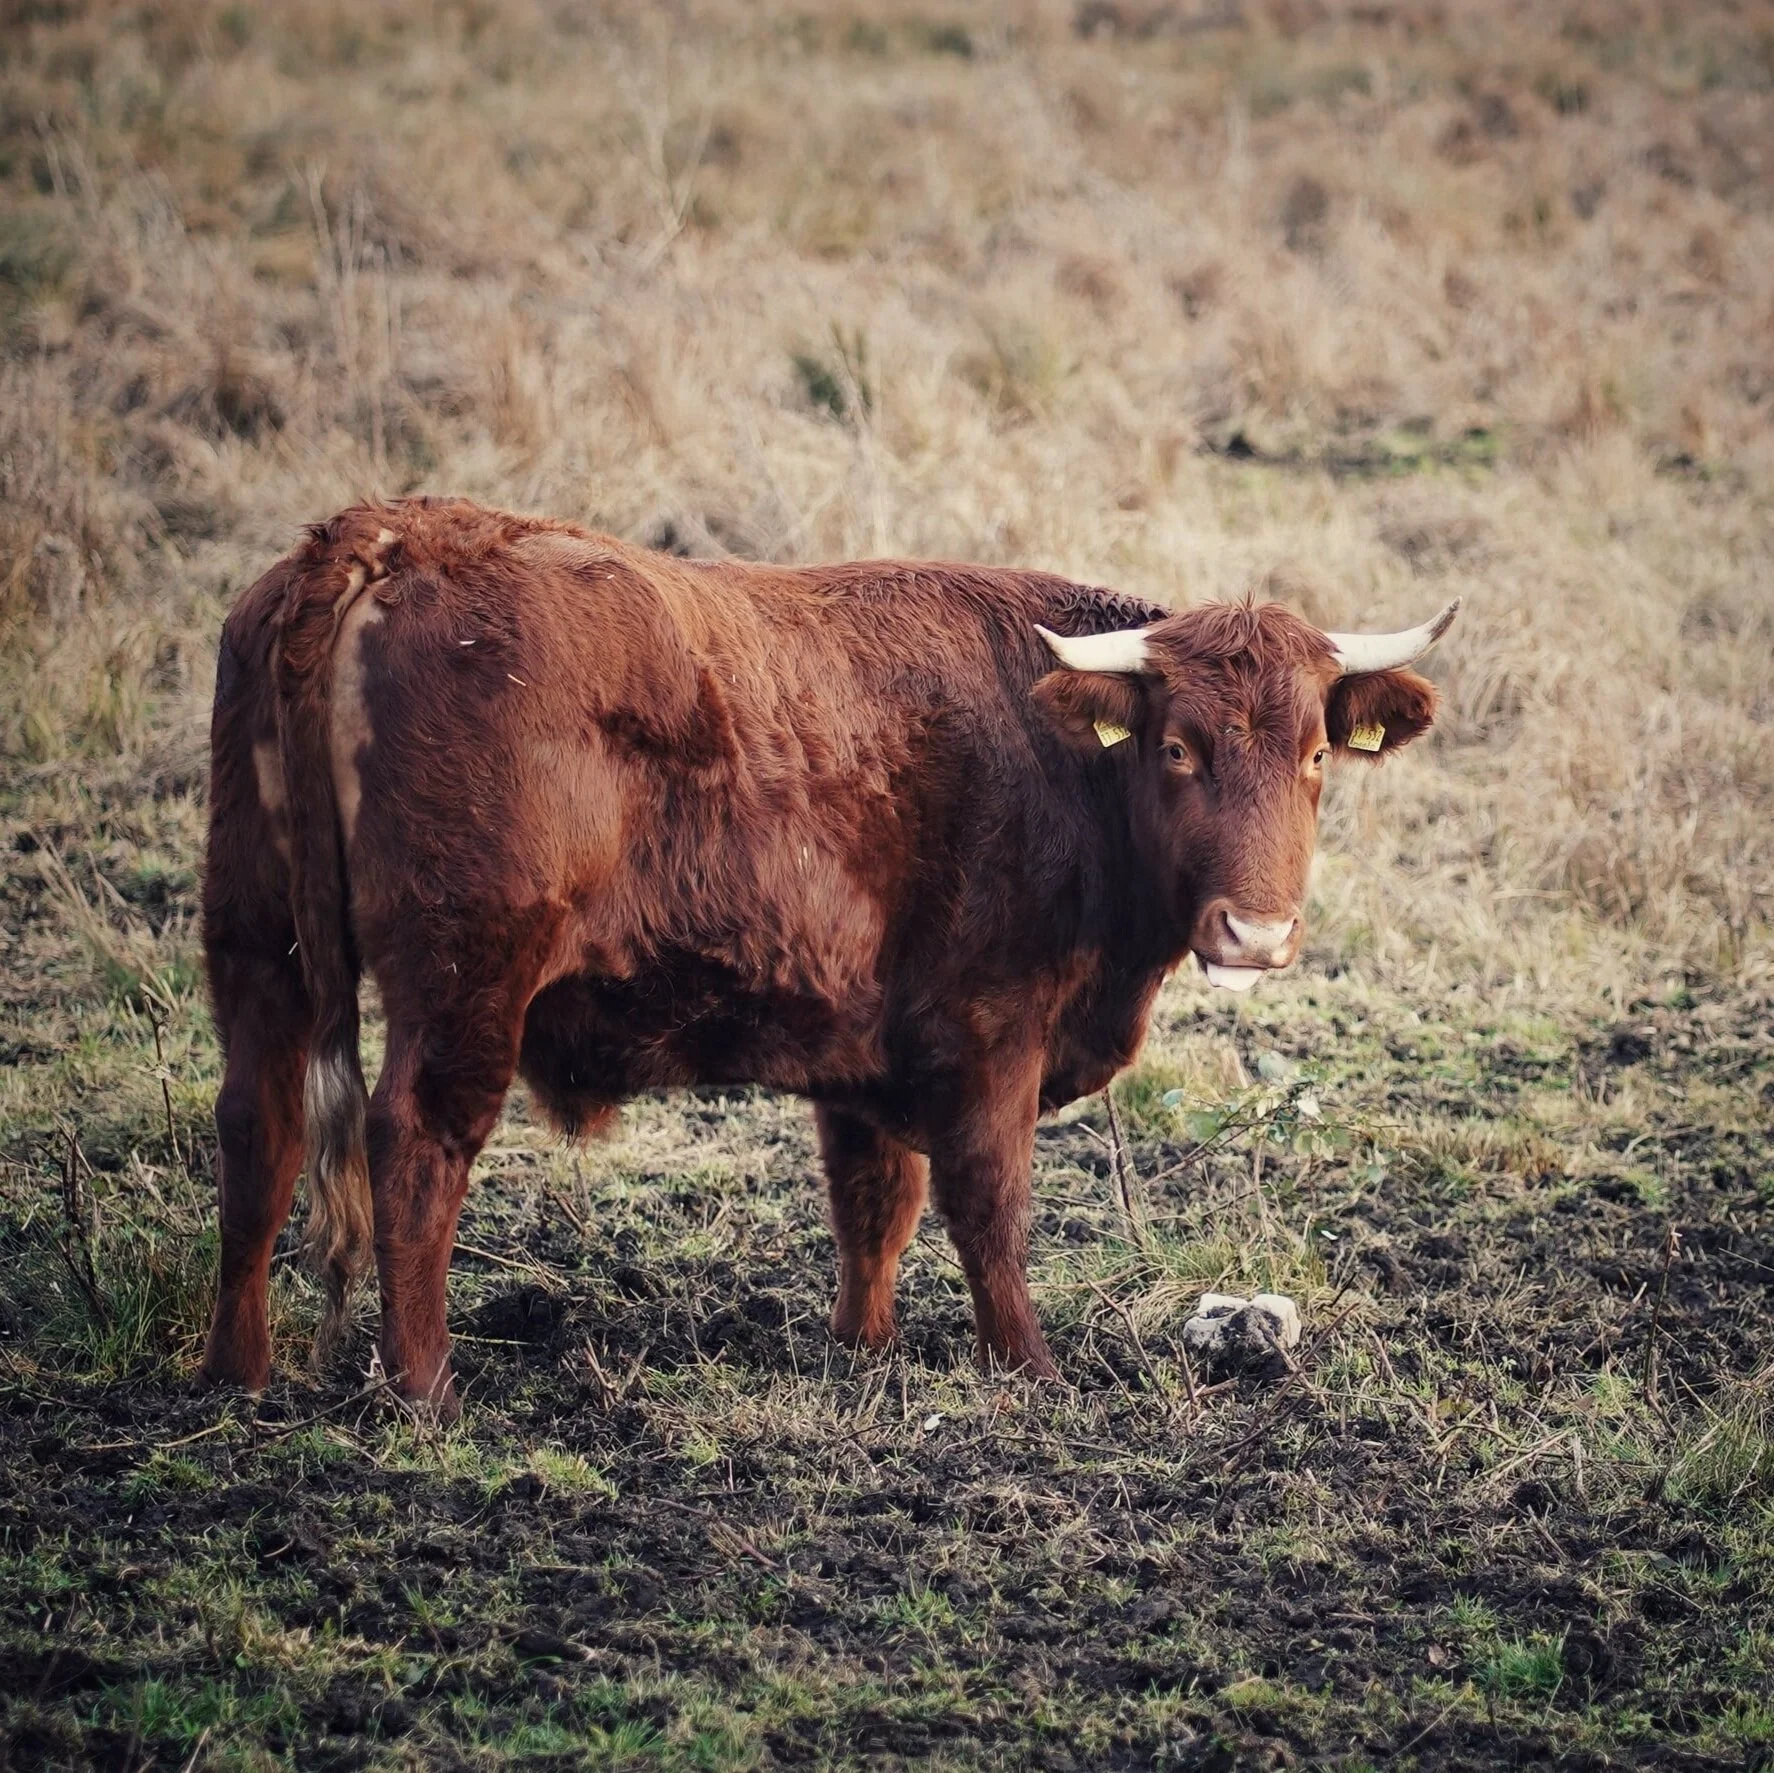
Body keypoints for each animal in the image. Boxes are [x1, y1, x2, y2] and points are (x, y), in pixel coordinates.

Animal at [198, 496, 1456, 1416]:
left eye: (1314, 755)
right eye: (1181, 748)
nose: (1256, 932)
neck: (1058, 756)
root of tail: (391, 536)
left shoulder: (864, 1051)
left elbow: (875, 1202)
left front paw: (868, 1351)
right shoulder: (990, 1033)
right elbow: (987, 1202)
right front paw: (1030, 1368)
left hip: (255, 946)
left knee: (259, 1131)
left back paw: (234, 1372)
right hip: (465, 981)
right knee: (416, 1147)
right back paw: (425, 1389)